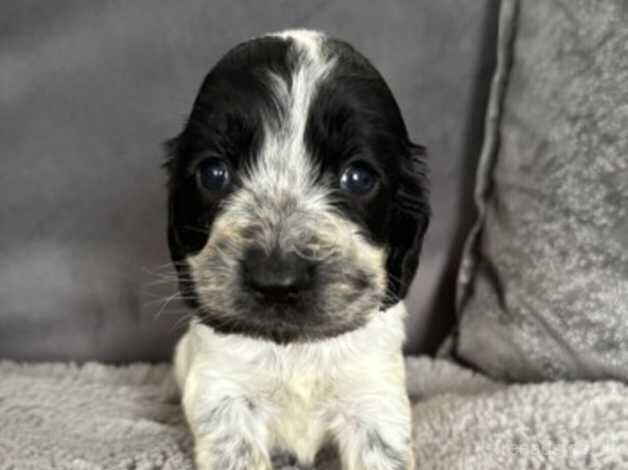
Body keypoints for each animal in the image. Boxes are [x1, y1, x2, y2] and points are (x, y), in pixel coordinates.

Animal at [166, 30, 432, 470]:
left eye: (358, 178)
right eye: (214, 173)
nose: (276, 280)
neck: (294, 346)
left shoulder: (374, 398)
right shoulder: (223, 394)